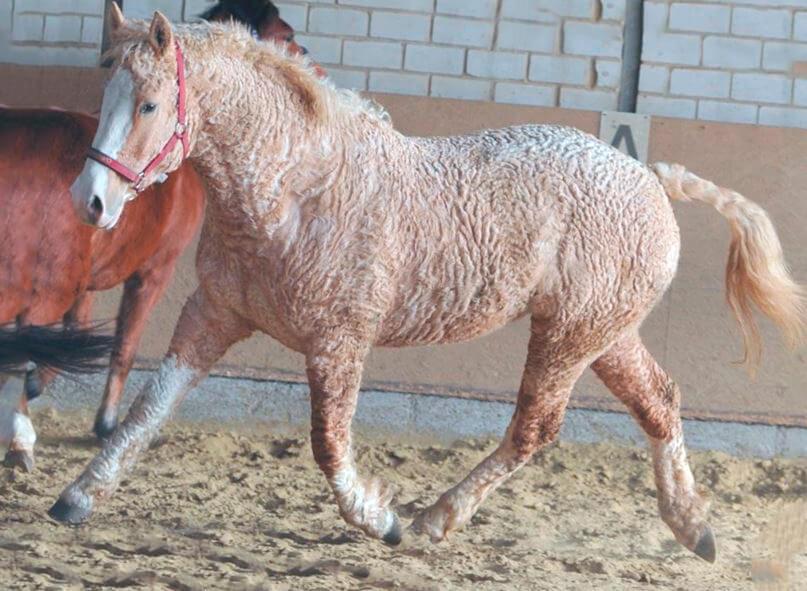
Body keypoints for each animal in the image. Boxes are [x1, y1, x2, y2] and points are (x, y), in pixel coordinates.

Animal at [0, 1, 317, 472]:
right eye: (288, 36)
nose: (310, 66)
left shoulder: (86, 281)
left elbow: (74, 336)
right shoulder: (152, 272)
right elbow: (122, 345)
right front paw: (104, 423)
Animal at [53, 11, 805, 564]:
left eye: (149, 103)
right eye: (105, 94)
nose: (90, 202)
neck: (295, 189)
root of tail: (649, 175)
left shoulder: (339, 342)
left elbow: (329, 445)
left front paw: (380, 518)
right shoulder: (212, 314)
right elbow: (149, 408)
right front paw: (75, 498)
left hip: (568, 336)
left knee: (535, 429)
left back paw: (435, 519)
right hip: (605, 334)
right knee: (659, 404)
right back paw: (692, 528)